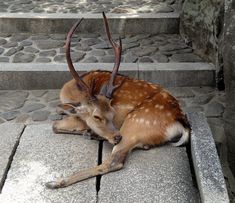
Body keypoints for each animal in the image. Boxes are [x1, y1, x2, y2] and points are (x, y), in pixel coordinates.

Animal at [45, 13, 189, 190]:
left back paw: (56, 181)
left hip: (135, 123)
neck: (71, 92)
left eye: (113, 113)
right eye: (97, 116)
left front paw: (89, 132)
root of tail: (179, 120)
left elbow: (55, 125)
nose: (116, 137)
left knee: (115, 161)